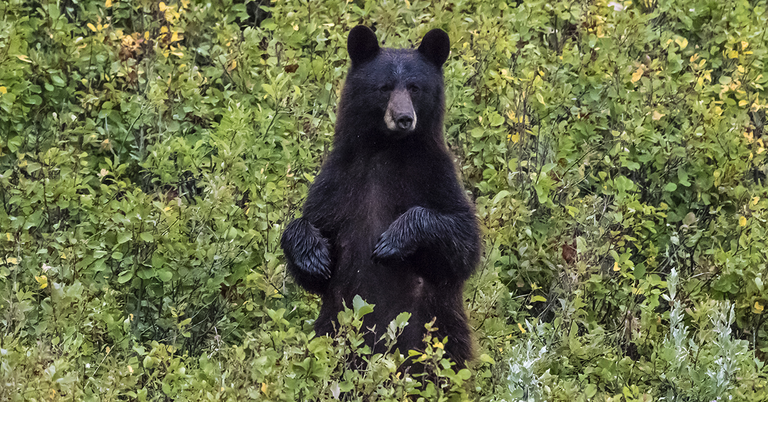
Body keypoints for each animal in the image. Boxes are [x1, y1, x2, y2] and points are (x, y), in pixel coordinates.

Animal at [280, 24, 480, 368]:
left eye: (415, 87)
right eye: (384, 87)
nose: (404, 118)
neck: (388, 149)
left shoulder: (436, 176)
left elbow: (463, 242)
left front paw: (392, 240)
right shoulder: (339, 180)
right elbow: (313, 233)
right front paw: (313, 255)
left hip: (435, 335)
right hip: (331, 328)